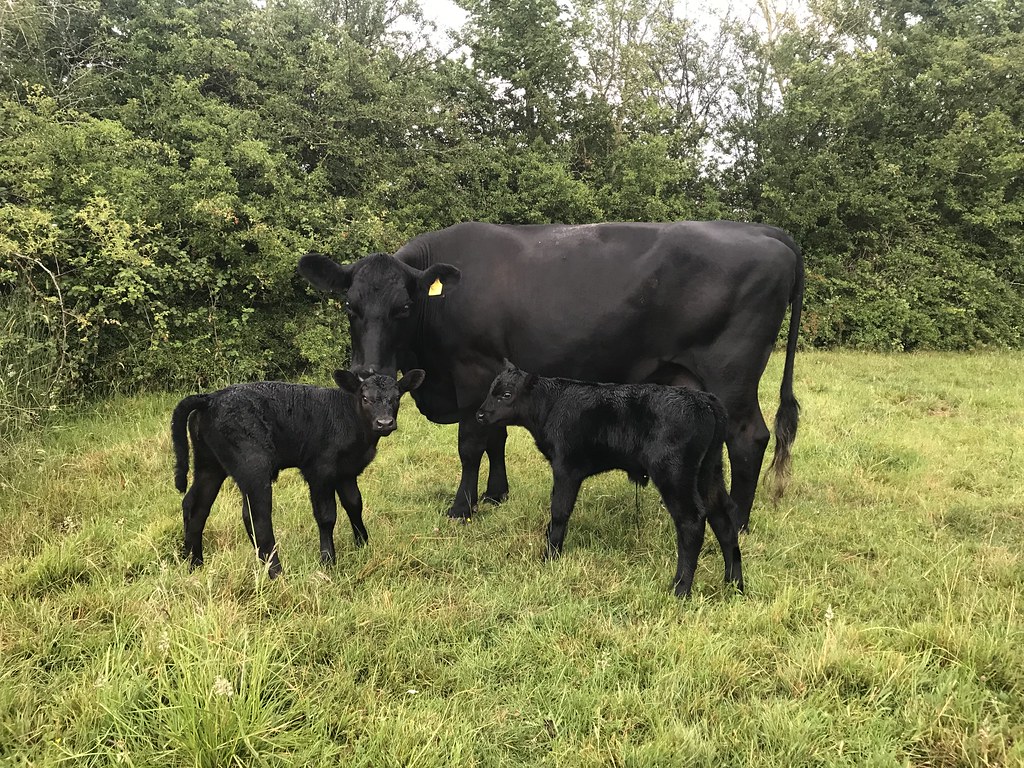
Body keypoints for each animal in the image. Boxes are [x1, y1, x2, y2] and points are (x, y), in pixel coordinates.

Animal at [172, 368, 423, 577]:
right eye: (365, 398)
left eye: (397, 397)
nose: (384, 422)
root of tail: (210, 398)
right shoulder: (320, 471)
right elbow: (327, 516)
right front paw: (328, 561)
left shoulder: (346, 472)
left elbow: (354, 505)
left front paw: (363, 544)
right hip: (253, 467)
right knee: (257, 518)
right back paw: (276, 573)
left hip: (209, 465)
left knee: (196, 507)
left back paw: (194, 563)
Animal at [299, 221, 802, 528]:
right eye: (350, 306)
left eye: (403, 307)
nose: (367, 371)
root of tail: (761, 230)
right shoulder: (493, 378)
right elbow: (496, 436)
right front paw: (496, 495)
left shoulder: (473, 370)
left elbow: (471, 444)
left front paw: (462, 507)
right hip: (691, 378)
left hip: (731, 375)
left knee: (749, 438)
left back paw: (740, 520)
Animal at [475, 362, 741, 602]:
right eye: (490, 391)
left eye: (506, 395)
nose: (479, 414)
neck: (550, 406)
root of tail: (704, 399)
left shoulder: (566, 468)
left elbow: (559, 512)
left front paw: (549, 558)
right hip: (709, 471)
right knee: (722, 519)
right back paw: (734, 583)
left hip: (674, 473)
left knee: (691, 521)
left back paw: (681, 589)